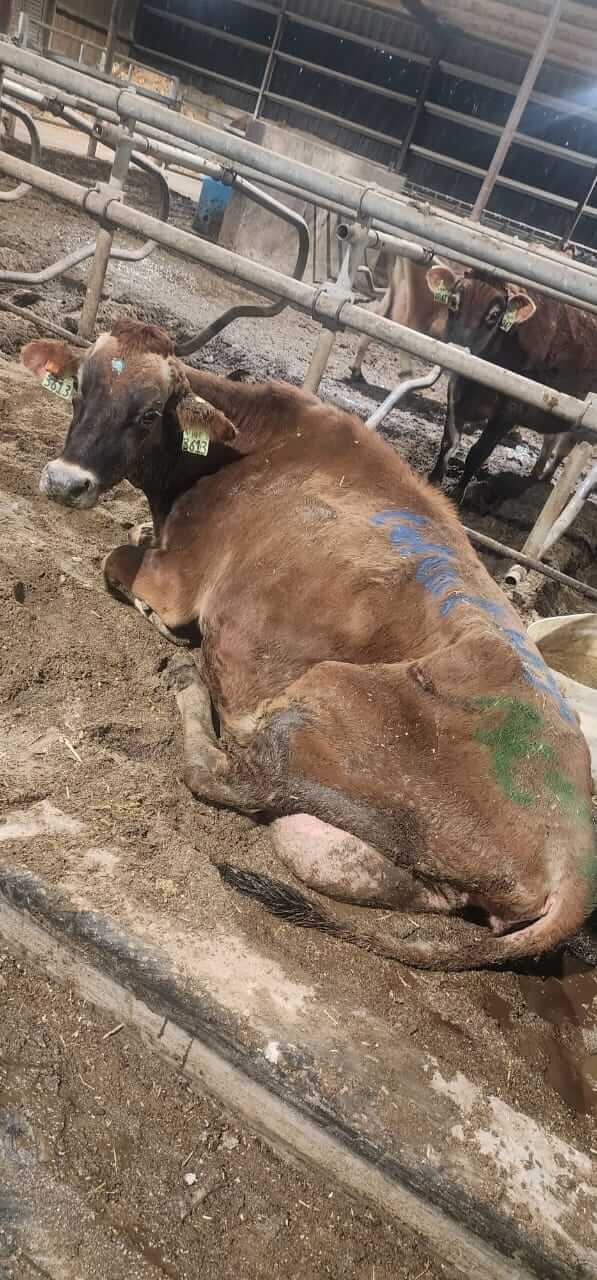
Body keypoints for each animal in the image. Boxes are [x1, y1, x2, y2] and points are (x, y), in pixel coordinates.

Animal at [23, 318, 597, 971]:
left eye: (147, 415)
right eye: (78, 390)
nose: (66, 482)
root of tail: (574, 867)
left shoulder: (179, 582)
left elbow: (116, 560)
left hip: (328, 692)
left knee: (224, 777)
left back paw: (190, 681)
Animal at [425, 263, 597, 501]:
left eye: (494, 315)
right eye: (453, 302)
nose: (457, 351)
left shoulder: (511, 409)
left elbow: (478, 452)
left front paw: (457, 495)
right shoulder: (456, 390)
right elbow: (449, 442)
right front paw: (432, 485)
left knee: (563, 449)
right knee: (552, 442)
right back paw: (535, 476)